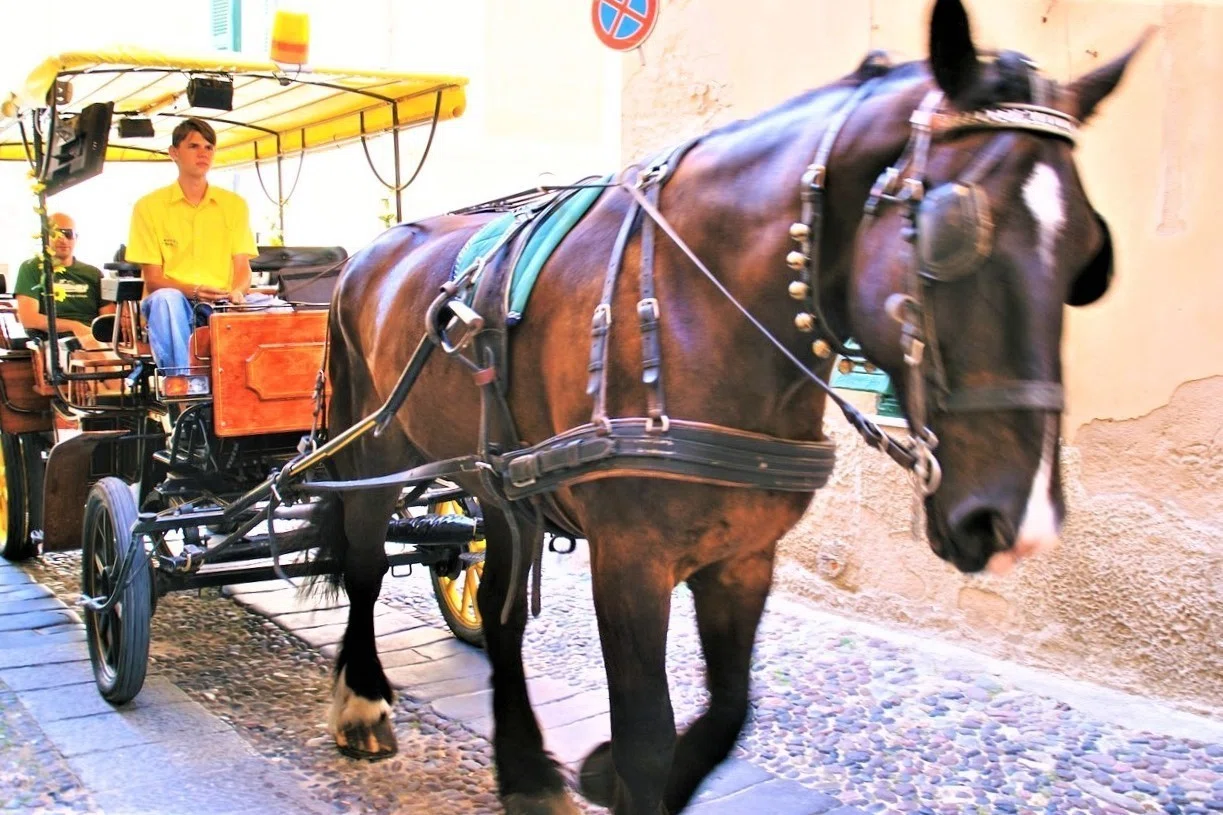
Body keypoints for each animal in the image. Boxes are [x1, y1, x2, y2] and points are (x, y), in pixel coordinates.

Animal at [314, 0, 1148, 811]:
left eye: (1089, 255)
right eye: (950, 233)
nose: (1019, 521)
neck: (698, 306)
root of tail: (370, 251)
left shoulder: (744, 554)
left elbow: (727, 711)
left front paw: (600, 771)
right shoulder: (629, 559)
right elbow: (648, 738)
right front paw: (620, 766)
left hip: (496, 479)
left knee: (497, 607)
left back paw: (524, 770)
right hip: (372, 452)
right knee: (363, 562)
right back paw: (362, 703)